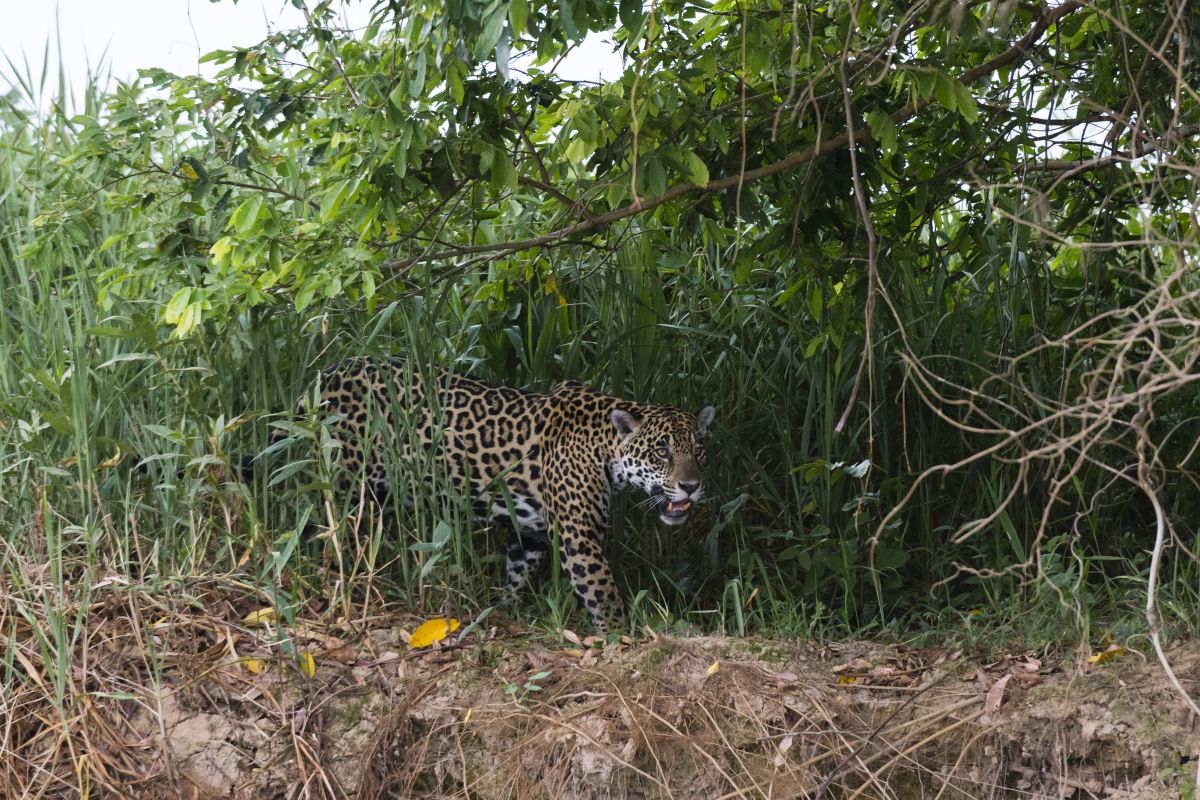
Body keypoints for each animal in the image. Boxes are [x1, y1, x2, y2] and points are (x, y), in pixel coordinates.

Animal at [293, 356, 716, 633]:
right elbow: (603, 593)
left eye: (698, 451)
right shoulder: (578, 537)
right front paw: (622, 635)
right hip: (346, 483)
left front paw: (505, 609)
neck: (603, 446)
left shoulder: (530, 531)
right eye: (661, 452)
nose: (691, 486)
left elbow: (517, 572)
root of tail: (328, 372)